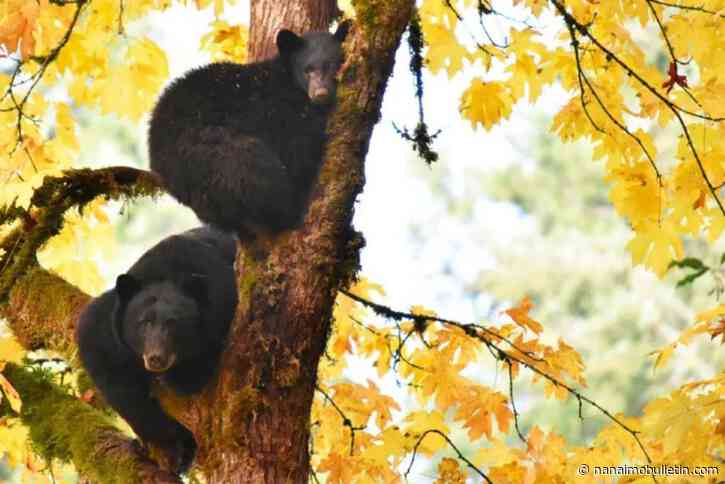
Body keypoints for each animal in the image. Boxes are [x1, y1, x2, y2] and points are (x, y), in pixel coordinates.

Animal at [75, 226, 238, 473]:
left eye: (173, 323)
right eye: (144, 322)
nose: (156, 359)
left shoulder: (221, 301)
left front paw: (178, 379)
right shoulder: (109, 326)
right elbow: (102, 358)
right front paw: (161, 438)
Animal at [148, 21, 350, 239]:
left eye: (335, 65)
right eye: (308, 70)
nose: (320, 93)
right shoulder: (278, 111)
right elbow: (299, 144)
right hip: (215, 151)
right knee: (258, 172)